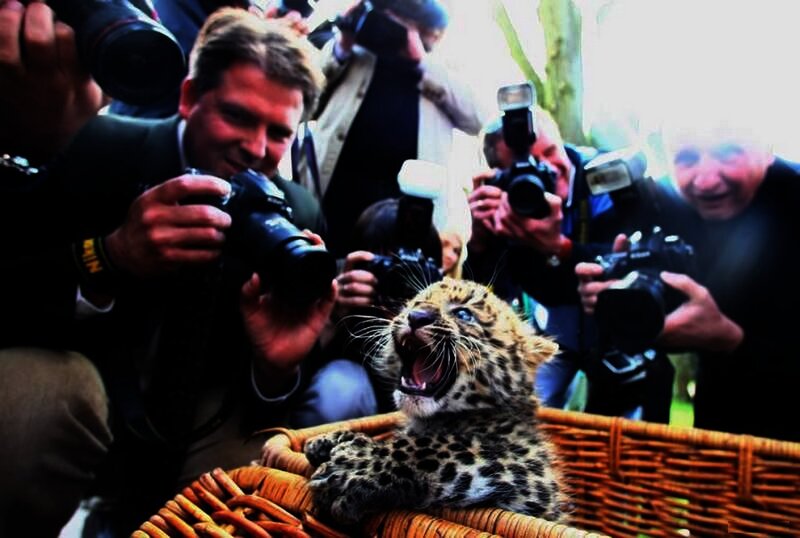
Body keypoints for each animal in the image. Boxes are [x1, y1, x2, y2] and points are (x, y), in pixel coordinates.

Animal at [303, 277, 568, 525]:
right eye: (415, 303)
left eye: (464, 314)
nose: (417, 316)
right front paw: (331, 440)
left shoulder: (530, 475)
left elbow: (444, 447)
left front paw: (356, 466)